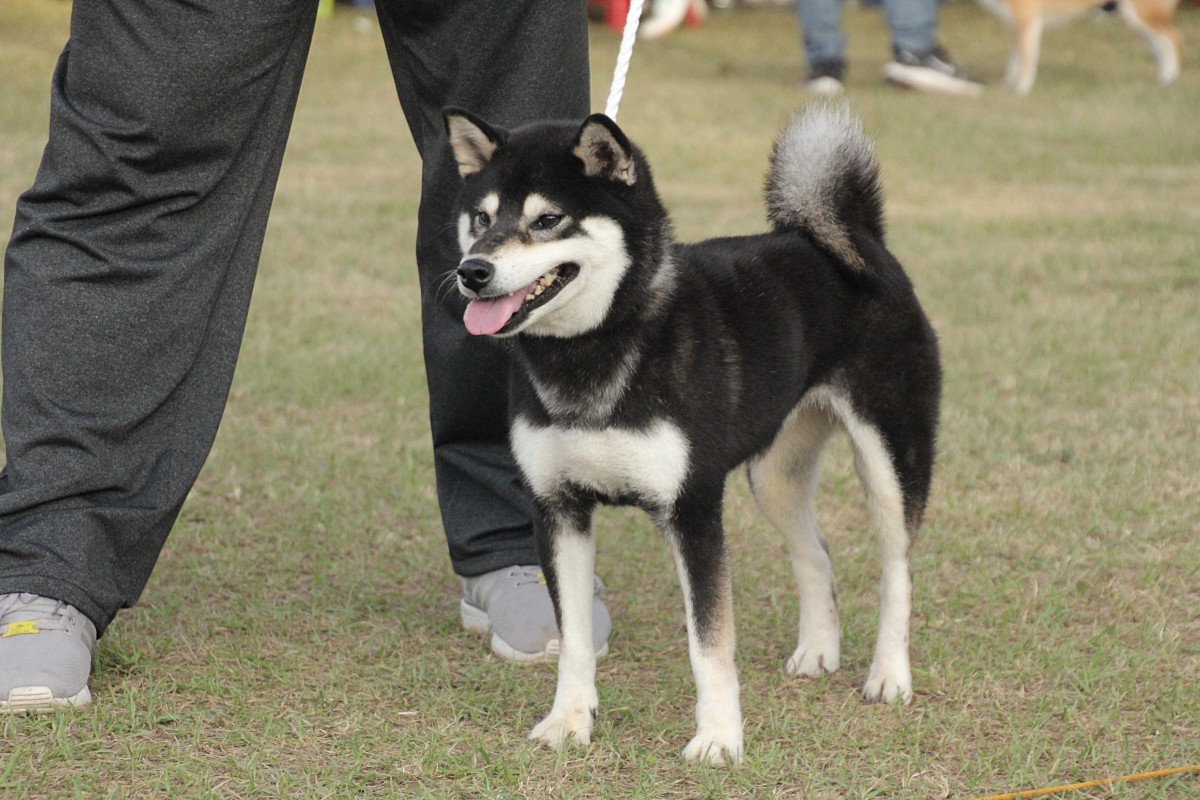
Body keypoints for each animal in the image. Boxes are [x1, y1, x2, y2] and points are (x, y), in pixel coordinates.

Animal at [984, 0, 1180, 92]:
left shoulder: (1028, 23)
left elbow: (1027, 62)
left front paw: (1022, 90)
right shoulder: (1017, 27)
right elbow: (1014, 63)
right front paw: (1005, 87)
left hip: (1142, 17)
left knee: (1173, 39)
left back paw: (1169, 78)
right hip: (1136, 21)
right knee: (1159, 48)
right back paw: (1161, 80)